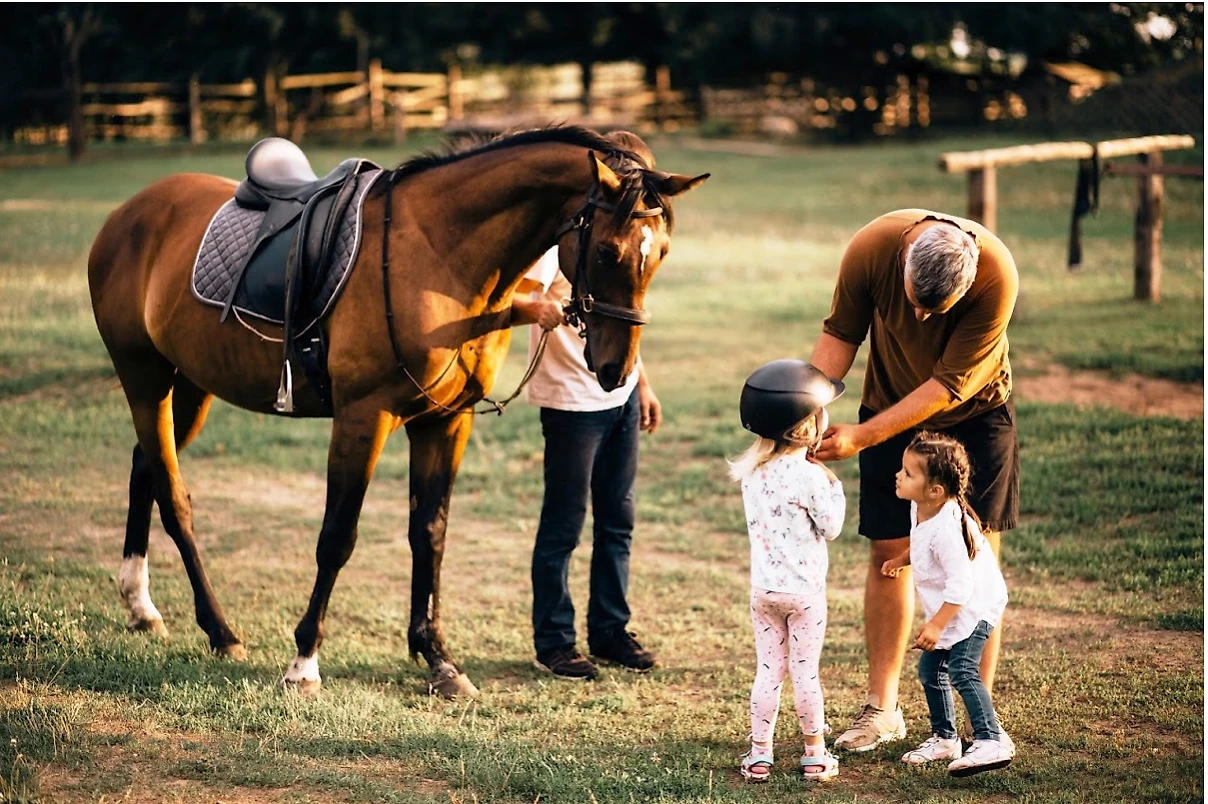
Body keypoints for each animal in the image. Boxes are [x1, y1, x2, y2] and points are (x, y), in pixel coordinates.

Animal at [91, 126, 705, 695]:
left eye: (662, 253)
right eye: (606, 252)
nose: (617, 369)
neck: (441, 255)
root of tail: (127, 213)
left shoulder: (445, 422)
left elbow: (429, 533)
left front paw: (438, 659)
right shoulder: (364, 419)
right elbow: (337, 537)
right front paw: (303, 662)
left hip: (191, 385)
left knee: (146, 467)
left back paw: (141, 606)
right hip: (145, 378)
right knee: (175, 499)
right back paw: (219, 631)